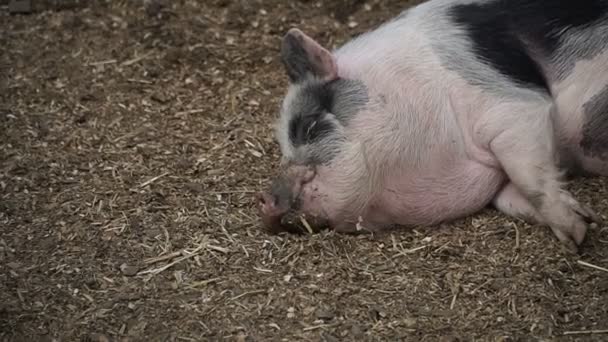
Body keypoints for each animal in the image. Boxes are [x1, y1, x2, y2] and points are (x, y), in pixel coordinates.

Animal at [255, 0, 608, 251]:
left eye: (309, 126)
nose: (266, 200)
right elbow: (511, 197)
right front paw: (587, 219)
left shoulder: (514, 104)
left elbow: (529, 175)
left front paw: (575, 236)